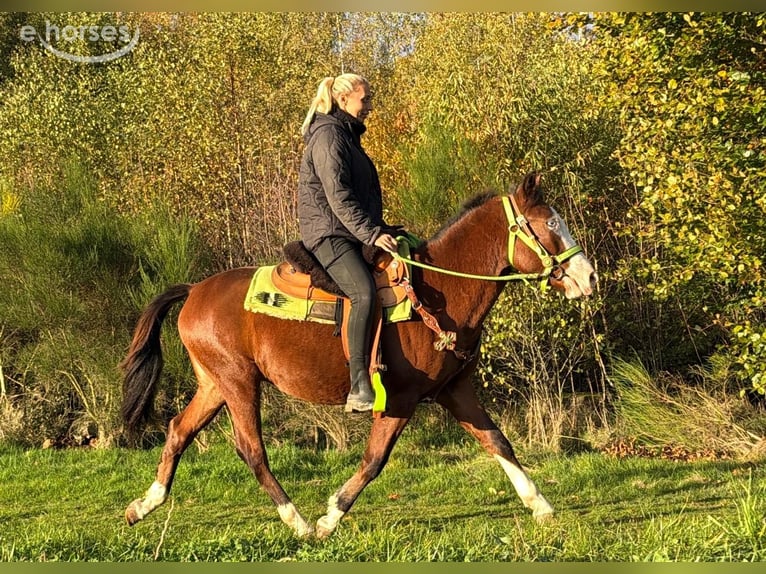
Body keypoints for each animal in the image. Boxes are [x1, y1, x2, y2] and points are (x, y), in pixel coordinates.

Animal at [120, 172, 597, 538]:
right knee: (251, 449)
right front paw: (330, 516)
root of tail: (193, 291)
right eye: (549, 225)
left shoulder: (454, 391)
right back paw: (297, 521)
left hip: (215, 384)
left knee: (178, 431)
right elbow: (374, 460)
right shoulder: (400, 399)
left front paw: (539, 504)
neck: (437, 291)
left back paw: (145, 504)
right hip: (238, 383)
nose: (589, 276)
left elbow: (497, 441)